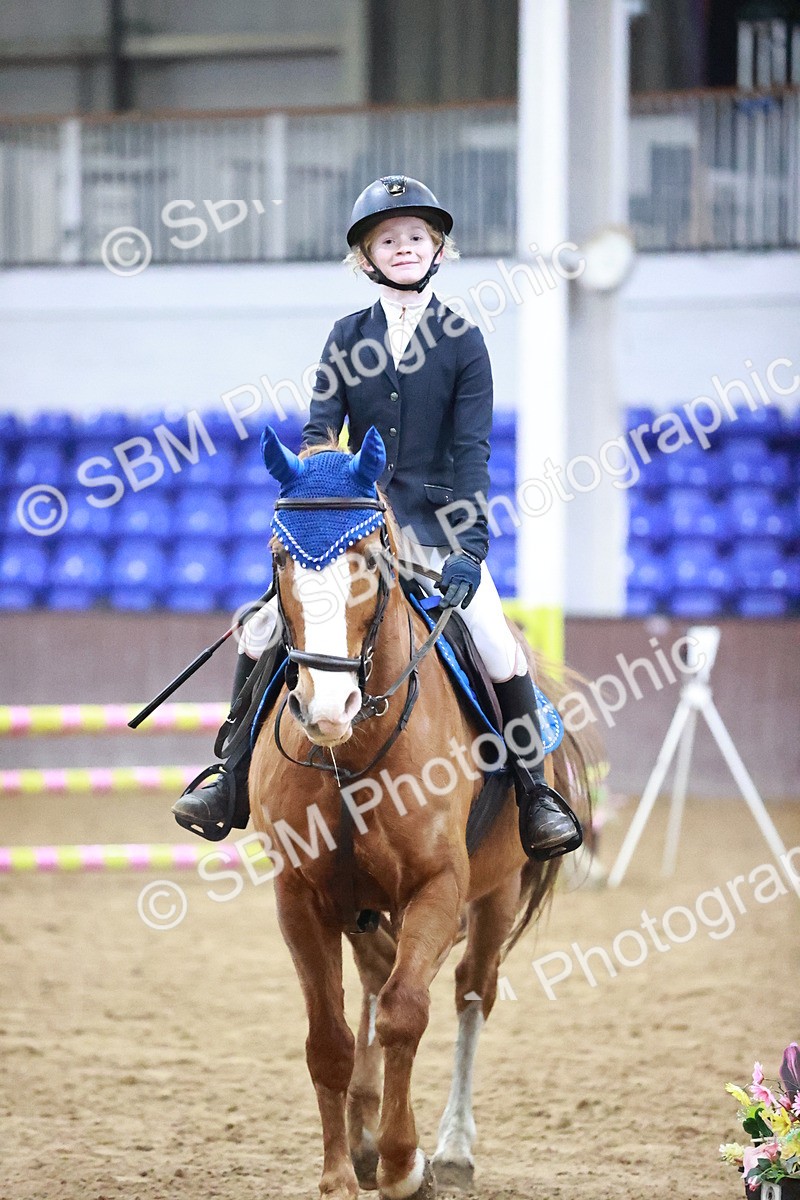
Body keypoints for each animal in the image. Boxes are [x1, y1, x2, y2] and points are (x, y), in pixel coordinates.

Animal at [248, 425, 598, 1200]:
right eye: (281, 558)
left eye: (368, 557)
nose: (327, 707)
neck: (354, 752)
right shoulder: (299, 896)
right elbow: (330, 1038)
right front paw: (341, 1175)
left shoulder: (440, 886)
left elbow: (408, 1014)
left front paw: (406, 1164)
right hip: (361, 907)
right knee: (376, 984)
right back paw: (365, 1130)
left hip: (497, 892)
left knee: (469, 993)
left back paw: (452, 1148)